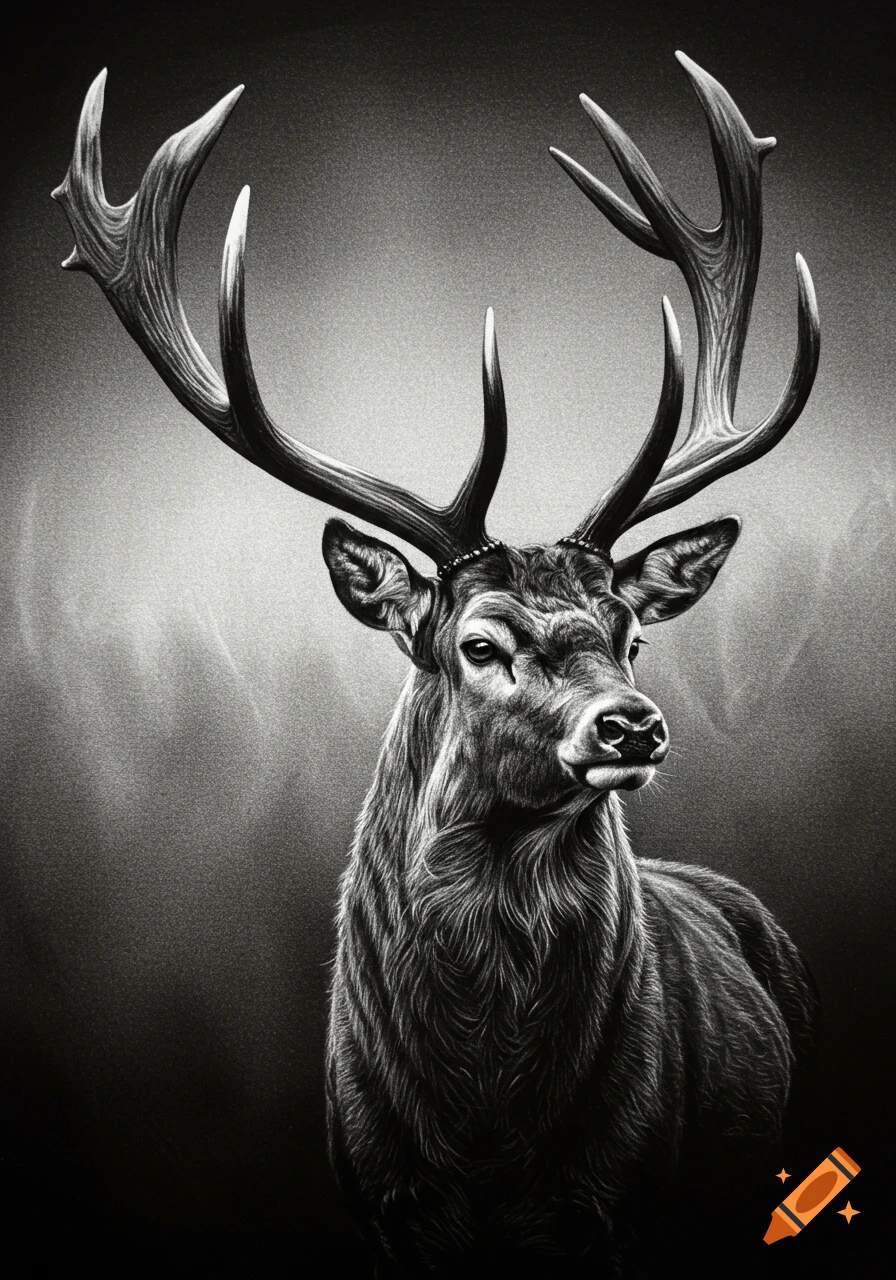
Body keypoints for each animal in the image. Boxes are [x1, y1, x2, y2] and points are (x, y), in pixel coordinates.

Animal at [54, 52, 820, 1277]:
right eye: (479, 642)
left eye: (631, 631)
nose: (632, 723)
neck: (486, 1133)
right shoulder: (383, 1199)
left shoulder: (620, 1195)